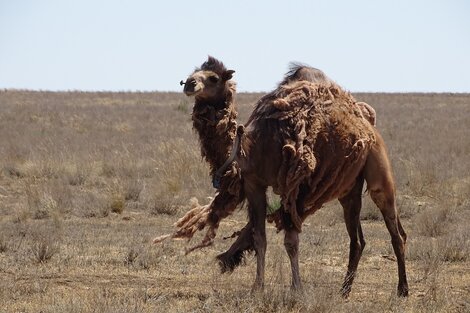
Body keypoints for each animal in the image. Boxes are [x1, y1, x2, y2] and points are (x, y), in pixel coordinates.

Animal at [157, 54, 408, 296]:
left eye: (213, 78)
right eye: (194, 72)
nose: (189, 84)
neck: (251, 146)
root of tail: (367, 122)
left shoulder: (297, 187)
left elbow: (291, 241)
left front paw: (297, 289)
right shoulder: (254, 184)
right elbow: (260, 238)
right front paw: (257, 287)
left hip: (379, 171)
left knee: (396, 231)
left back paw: (402, 289)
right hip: (349, 188)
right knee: (357, 240)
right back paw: (344, 291)